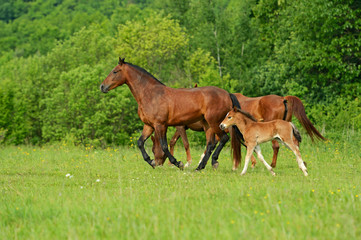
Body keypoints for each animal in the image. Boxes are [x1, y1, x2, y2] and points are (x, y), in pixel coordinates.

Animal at [99, 57, 239, 171]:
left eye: (115, 71)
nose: (102, 86)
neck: (150, 94)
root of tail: (227, 94)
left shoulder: (160, 125)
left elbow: (164, 146)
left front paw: (178, 163)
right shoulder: (149, 126)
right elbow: (140, 142)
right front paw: (151, 161)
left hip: (214, 122)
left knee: (223, 139)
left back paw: (213, 162)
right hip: (208, 125)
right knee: (210, 144)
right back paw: (200, 167)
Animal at [150, 93, 324, 170]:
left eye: (153, 149)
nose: (156, 162)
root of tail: (283, 99)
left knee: (277, 146)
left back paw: (274, 165)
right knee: (293, 144)